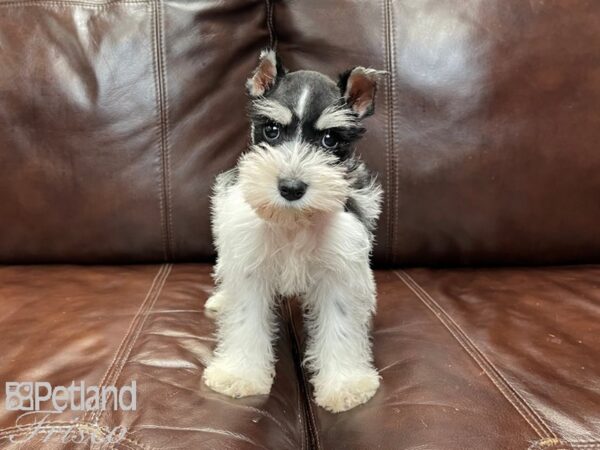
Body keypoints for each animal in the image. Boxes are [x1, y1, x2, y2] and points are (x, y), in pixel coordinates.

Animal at [205, 48, 384, 412]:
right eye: (272, 130)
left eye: (329, 139)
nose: (291, 187)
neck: (294, 220)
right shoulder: (250, 266)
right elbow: (245, 319)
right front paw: (239, 374)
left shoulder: (340, 270)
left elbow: (341, 325)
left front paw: (345, 383)